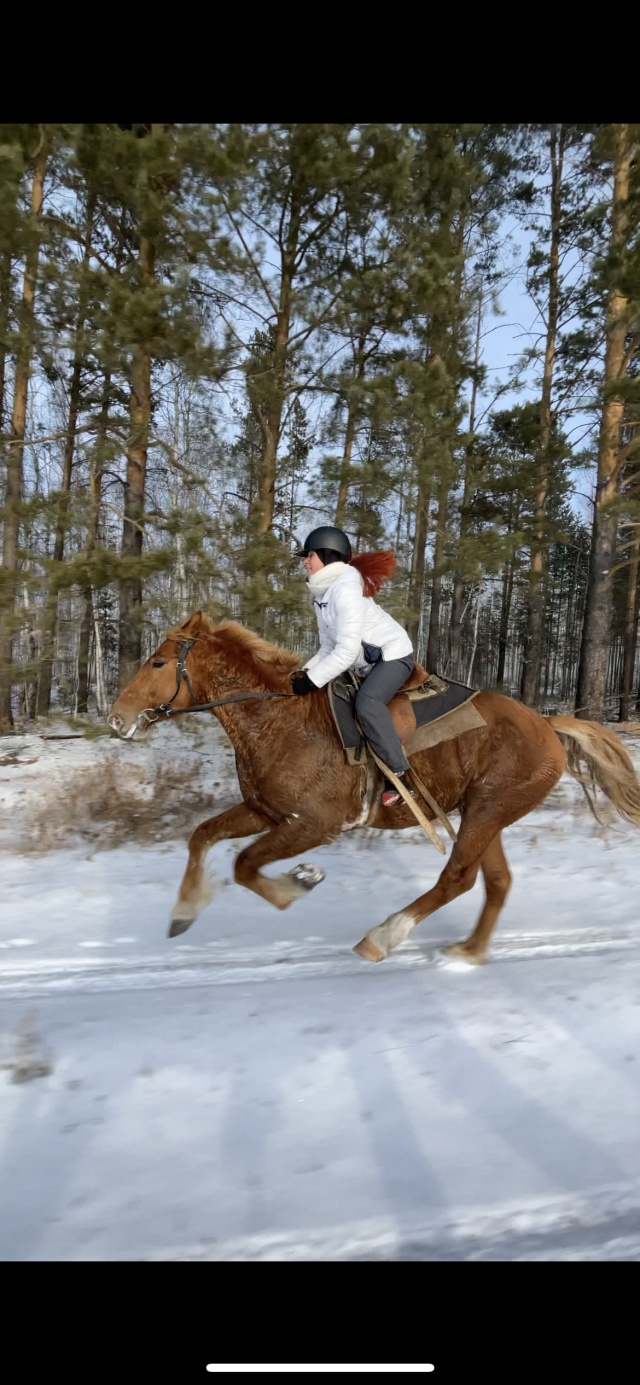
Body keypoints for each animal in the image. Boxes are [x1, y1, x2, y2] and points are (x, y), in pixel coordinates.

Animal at [107, 612, 640, 969]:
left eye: (157, 663)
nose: (116, 718)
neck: (279, 718)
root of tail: (547, 725)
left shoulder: (314, 825)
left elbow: (243, 864)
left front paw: (299, 883)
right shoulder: (263, 811)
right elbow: (202, 836)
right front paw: (183, 913)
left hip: (488, 810)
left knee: (458, 878)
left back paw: (382, 937)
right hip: (483, 813)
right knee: (496, 881)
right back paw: (468, 950)